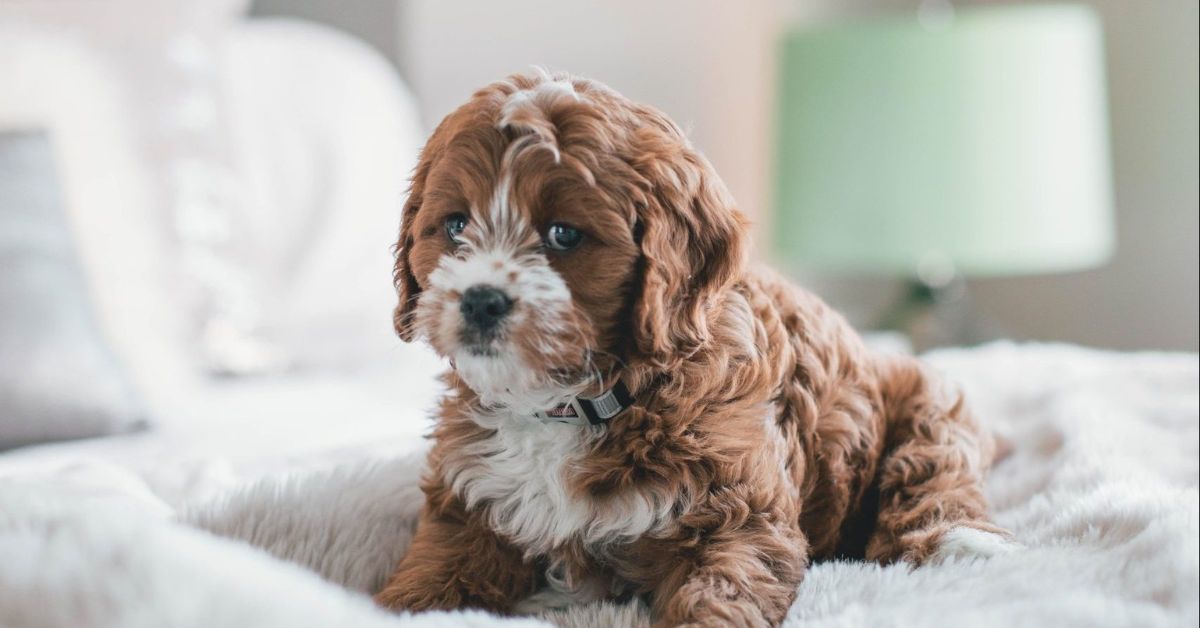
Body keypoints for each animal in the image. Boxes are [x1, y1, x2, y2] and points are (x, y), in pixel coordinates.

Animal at [376, 71, 1012, 624]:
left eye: (563, 234)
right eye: (455, 225)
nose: (480, 301)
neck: (574, 402)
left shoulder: (739, 514)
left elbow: (721, 594)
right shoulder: (468, 504)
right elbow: (434, 573)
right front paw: (392, 605)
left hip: (929, 401)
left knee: (935, 469)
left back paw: (961, 546)